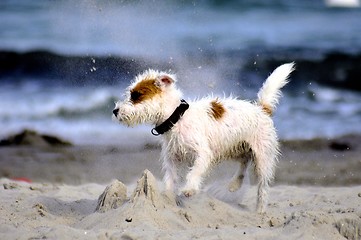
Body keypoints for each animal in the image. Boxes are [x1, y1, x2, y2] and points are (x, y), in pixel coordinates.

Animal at [114, 62, 294, 213]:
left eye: (136, 95)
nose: (115, 111)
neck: (177, 118)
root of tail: (262, 109)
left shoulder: (203, 154)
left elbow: (194, 172)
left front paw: (189, 189)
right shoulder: (172, 159)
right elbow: (170, 180)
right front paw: (168, 197)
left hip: (262, 157)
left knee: (262, 186)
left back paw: (260, 211)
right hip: (234, 147)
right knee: (244, 161)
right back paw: (235, 184)